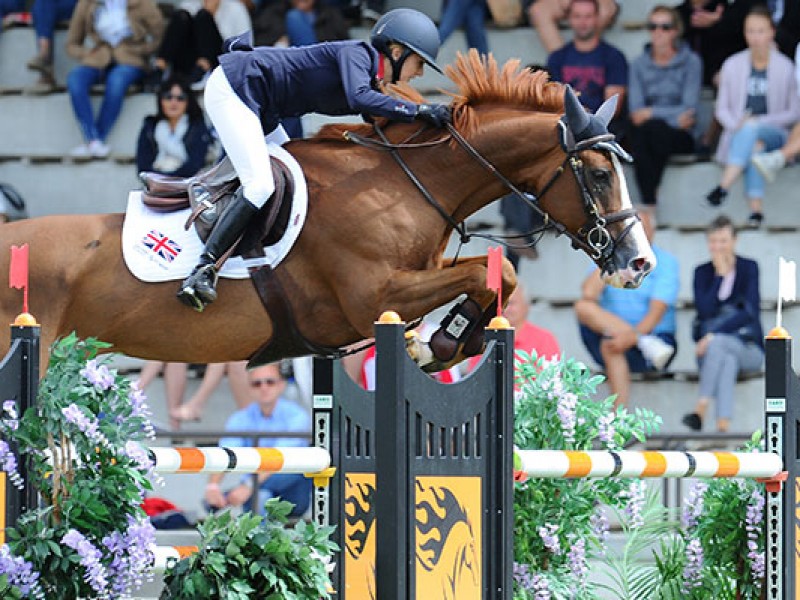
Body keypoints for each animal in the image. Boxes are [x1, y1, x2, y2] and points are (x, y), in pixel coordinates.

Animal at [0, 52, 652, 370]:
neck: (404, 182)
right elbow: (489, 274)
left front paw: (440, 344)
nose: (639, 263)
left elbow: (499, 275)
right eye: (599, 175)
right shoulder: (375, 296)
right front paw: (438, 344)